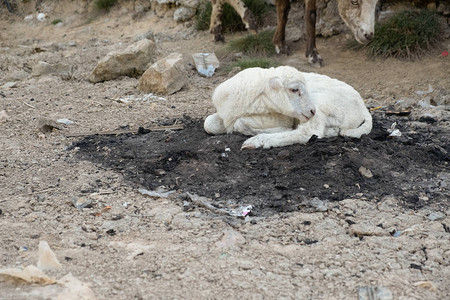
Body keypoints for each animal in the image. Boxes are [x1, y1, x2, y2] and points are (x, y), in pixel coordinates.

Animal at [204, 66, 372, 149]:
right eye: (294, 89)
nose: (312, 111)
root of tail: (363, 108)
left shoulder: (282, 118)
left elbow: (240, 123)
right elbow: (208, 124)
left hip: (322, 101)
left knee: (308, 132)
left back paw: (258, 141)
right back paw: (332, 131)